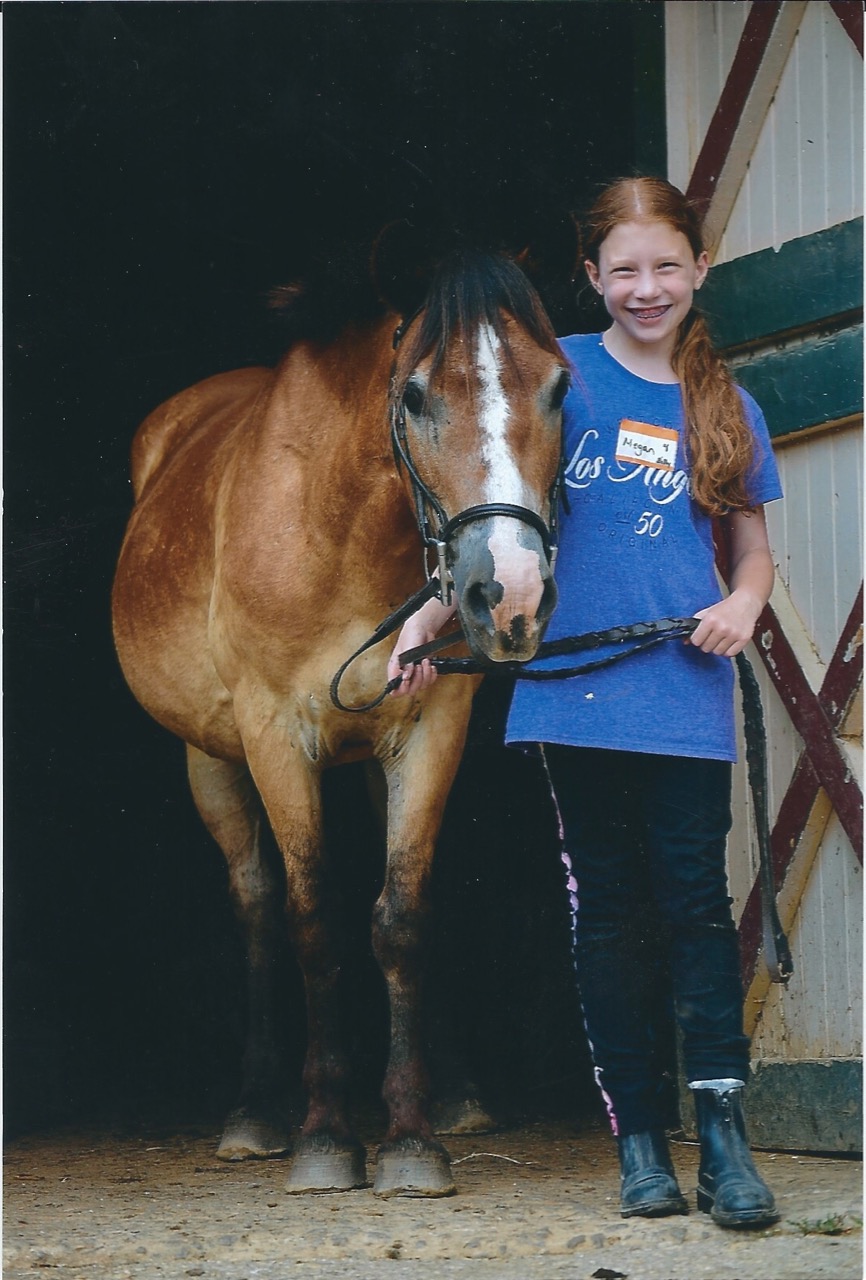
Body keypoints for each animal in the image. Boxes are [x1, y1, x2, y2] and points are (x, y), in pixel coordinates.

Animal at [111, 240, 570, 1197]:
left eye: (558, 386)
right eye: (416, 395)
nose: (511, 597)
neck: (338, 530)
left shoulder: (429, 732)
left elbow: (402, 915)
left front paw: (411, 1139)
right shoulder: (274, 739)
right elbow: (313, 919)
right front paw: (325, 1136)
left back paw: (458, 1093)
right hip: (208, 758)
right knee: (255, 902)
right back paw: (254, 1112)